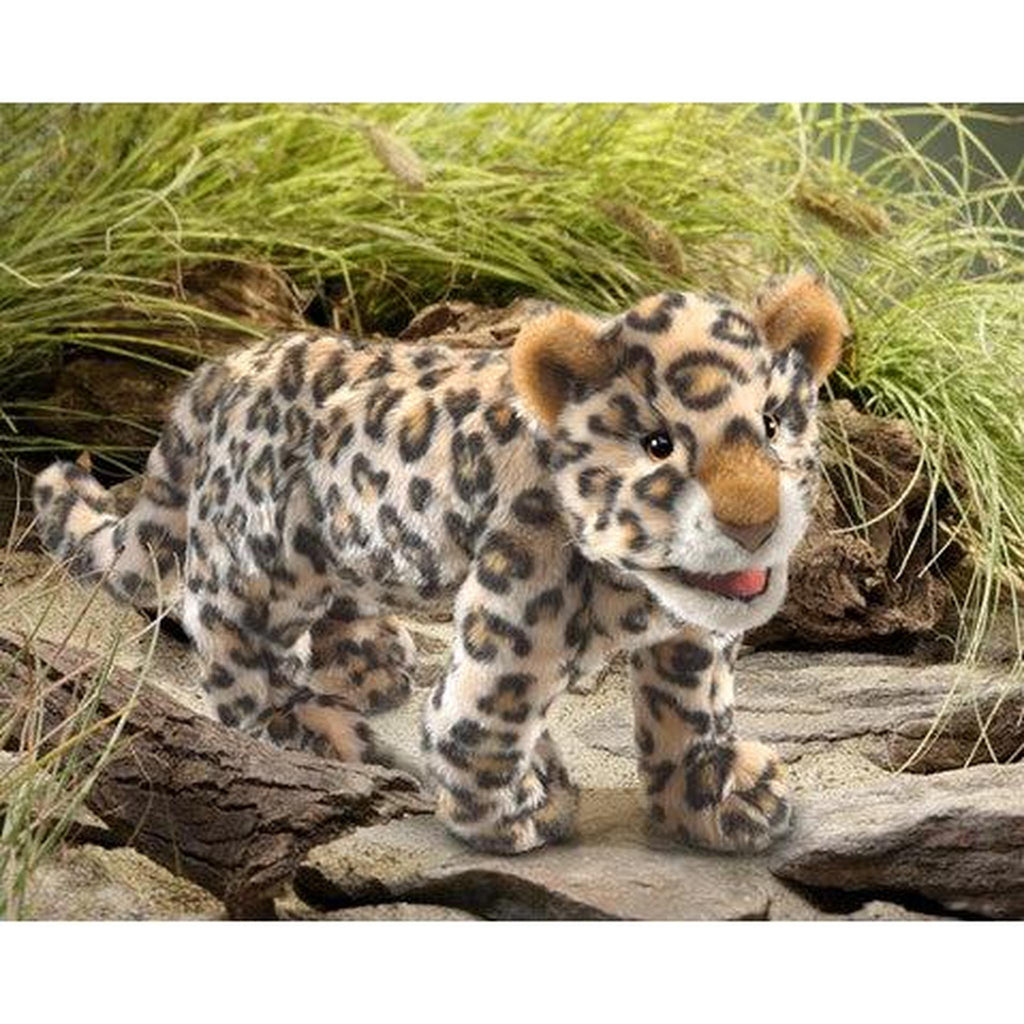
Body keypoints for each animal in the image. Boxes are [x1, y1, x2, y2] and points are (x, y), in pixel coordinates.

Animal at [32, 270, 848, 856]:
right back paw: (314, 730)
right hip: (262, 562)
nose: (754, 523)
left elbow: (689, 710)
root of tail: (221, 369)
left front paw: (715, 796)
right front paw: (515, 810)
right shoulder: (518, 616)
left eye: (774, 424)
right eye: (658, 446)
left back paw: (368, 661)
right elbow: (482, 713)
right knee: (235, 649)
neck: (637, 583)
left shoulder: (689, 634)